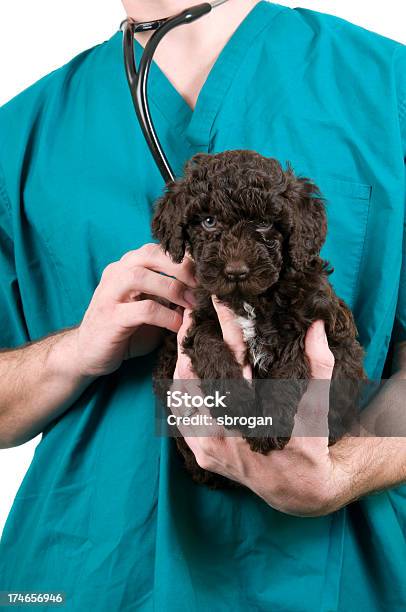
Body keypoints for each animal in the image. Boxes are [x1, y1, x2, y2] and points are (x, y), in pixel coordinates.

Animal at [151, 149, 364, 488]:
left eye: (264, 224)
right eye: (209, 221)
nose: (236, 271)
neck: (252, 300)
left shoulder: (306, 325)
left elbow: (287, 371)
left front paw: (268, 426)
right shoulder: (204, 314)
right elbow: (209, 347)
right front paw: (237, 404)